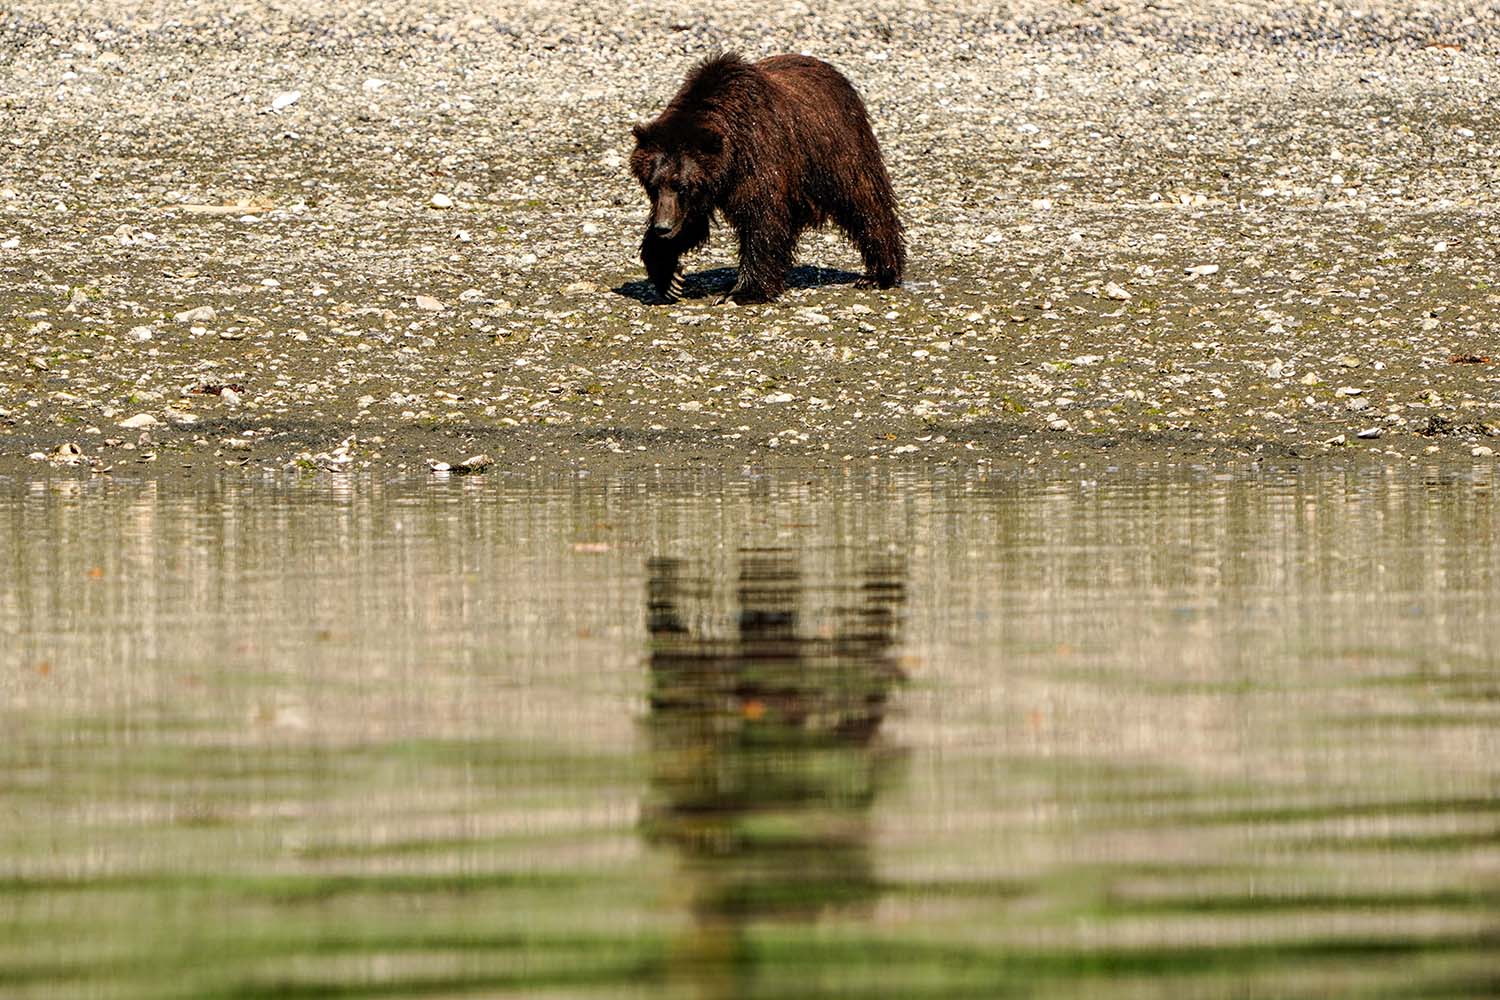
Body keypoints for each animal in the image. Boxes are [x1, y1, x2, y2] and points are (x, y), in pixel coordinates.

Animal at [630, 52, 900, 302]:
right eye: (653, 185)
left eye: (682, 186)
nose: (663, 227)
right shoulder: (706, 187)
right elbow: (691, 222)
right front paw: (669, 277)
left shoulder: (759, 156)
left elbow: (761, 219)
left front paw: (742, 291)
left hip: (837, 150)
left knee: (864, 203)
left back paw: (879, 274)